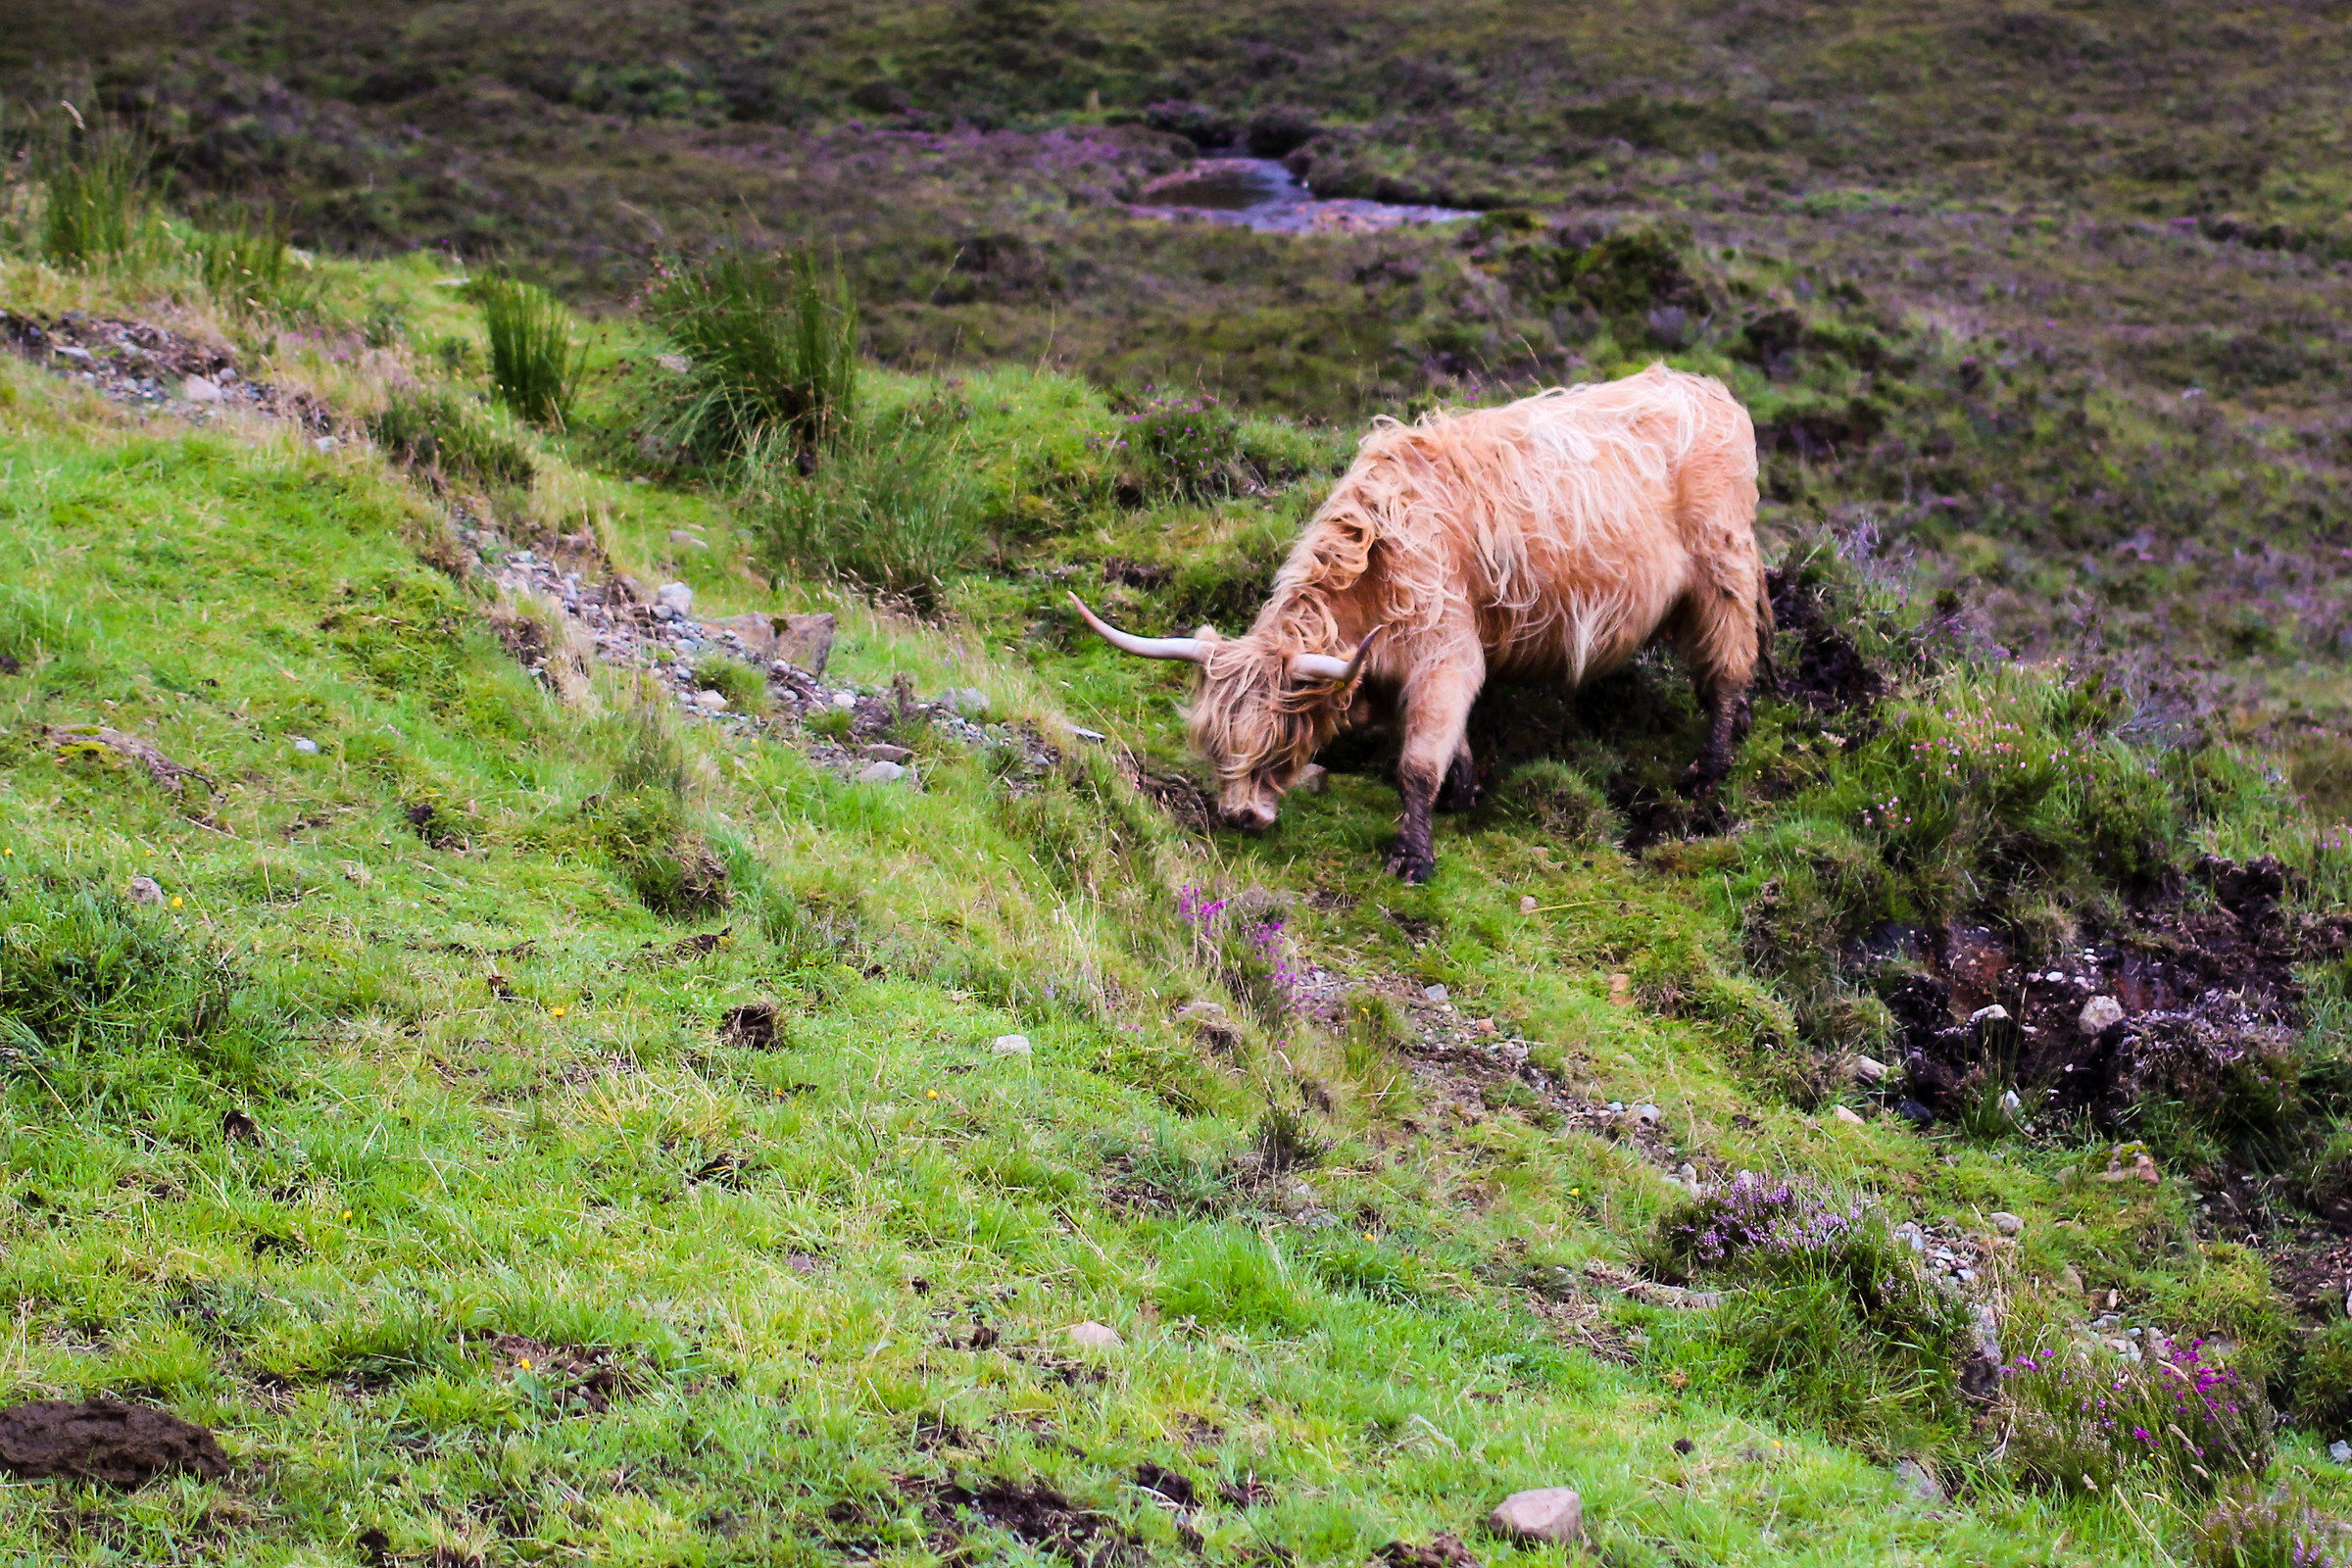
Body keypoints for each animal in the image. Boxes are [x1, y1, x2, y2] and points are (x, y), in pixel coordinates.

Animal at [1070, 364, 1771, 882]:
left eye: (1281, 741)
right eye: (1215, 743)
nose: (1241, 817)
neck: (1376, 563)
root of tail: (1707, 390)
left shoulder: (1446, 655)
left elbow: (1417, 763)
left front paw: (1414, 857)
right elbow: (1448, 744)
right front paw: (1464, 794)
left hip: (1723, 570)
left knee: (1728, 666)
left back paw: (1709, 767)